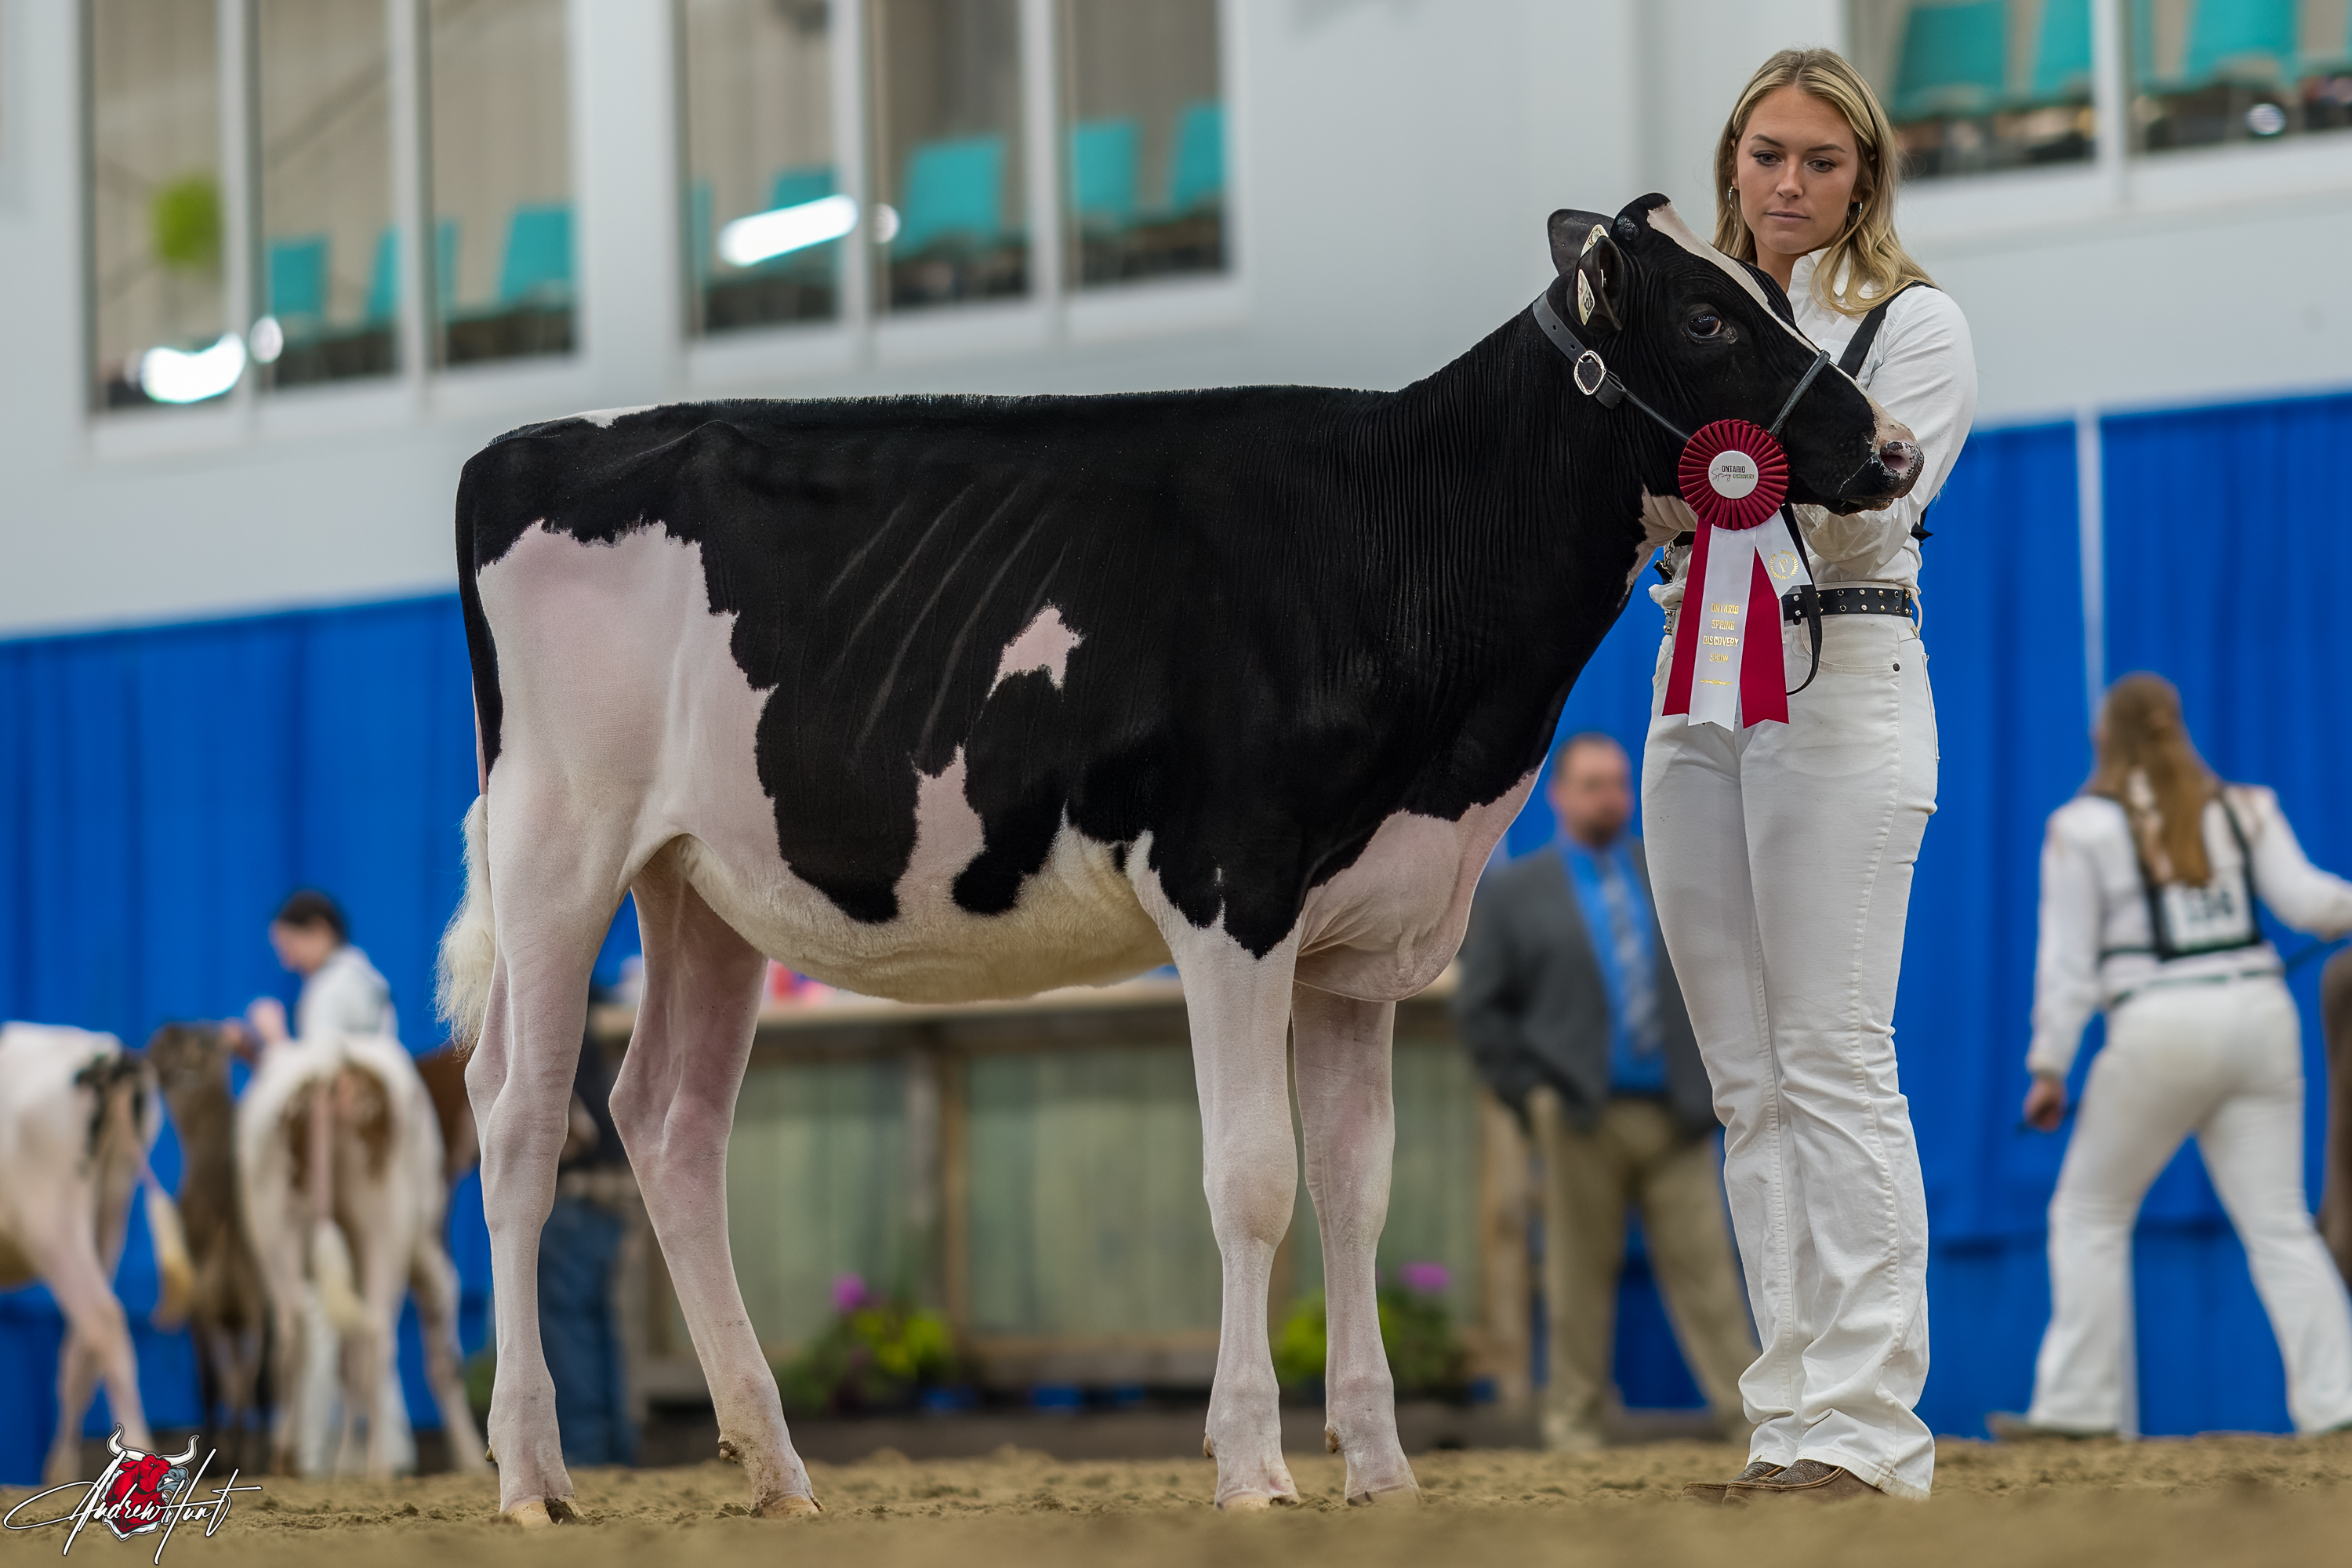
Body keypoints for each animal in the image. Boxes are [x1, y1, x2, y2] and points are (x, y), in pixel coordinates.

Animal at [0, 1023, 193, 1485]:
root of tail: (110, 1055)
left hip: (51, 1225)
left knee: (104, 1321)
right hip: (109, 1213)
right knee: (82, 1344)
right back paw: (60, 1471)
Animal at [235, 1032, 486, 1478]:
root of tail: (332, 1060)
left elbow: (344, 1363)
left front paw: (343, 1462)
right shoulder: (432, 1255)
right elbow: (444, 1363)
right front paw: (470, 1459)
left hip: (273, 1223)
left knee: (294, 1332)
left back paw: (287, 1459)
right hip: (386, 1223)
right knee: (377, 1334)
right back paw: (379, 1463)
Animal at [436, 195, 1923, 1522]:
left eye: (1778, 294)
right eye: (1706, 318)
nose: (1899, 448)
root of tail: (526, 445)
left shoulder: (1364, 937)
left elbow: (1358, 1189)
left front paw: (1381, 1472)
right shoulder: (1231, 891)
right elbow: (1253, 1179)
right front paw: (1253, 1465)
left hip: (703, 885)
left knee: (668, 1125)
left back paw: (773, 1470)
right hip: (559, 841)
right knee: (518, 1116)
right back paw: (530, 1478)